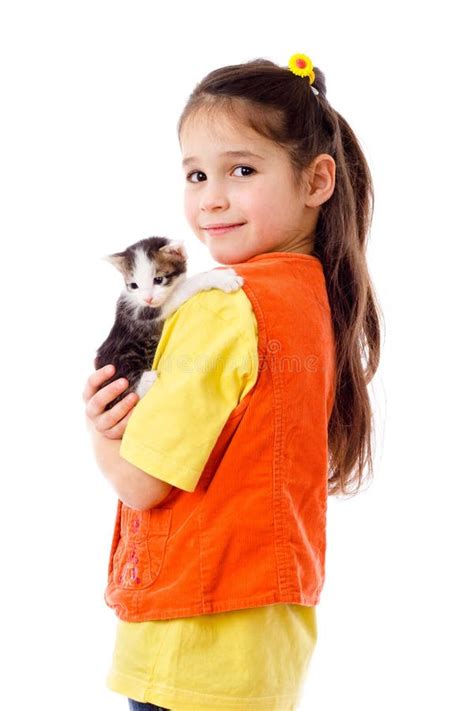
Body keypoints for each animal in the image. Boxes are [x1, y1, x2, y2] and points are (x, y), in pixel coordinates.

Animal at [95, 235, 244, 412]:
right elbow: (183, 289)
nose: (148, 299)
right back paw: (147, 380)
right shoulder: (142, 312)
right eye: (134, 285)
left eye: (158, 280)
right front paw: (221, 277)